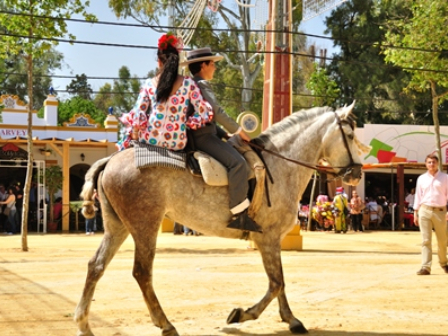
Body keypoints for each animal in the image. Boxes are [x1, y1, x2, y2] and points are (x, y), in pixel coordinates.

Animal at [75, 103, 366, 334]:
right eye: (351, 135)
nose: (357, 173)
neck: (280, 165)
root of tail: (110, 160)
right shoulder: (269, 238)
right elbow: (276, 283)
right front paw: (243, 314)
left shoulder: (270, 241)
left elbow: (279, 282)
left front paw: (291, 319)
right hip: (145, 226)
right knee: (142, 272)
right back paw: (165, 324)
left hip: (118, 227)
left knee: (95, 266)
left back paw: (83, 324)